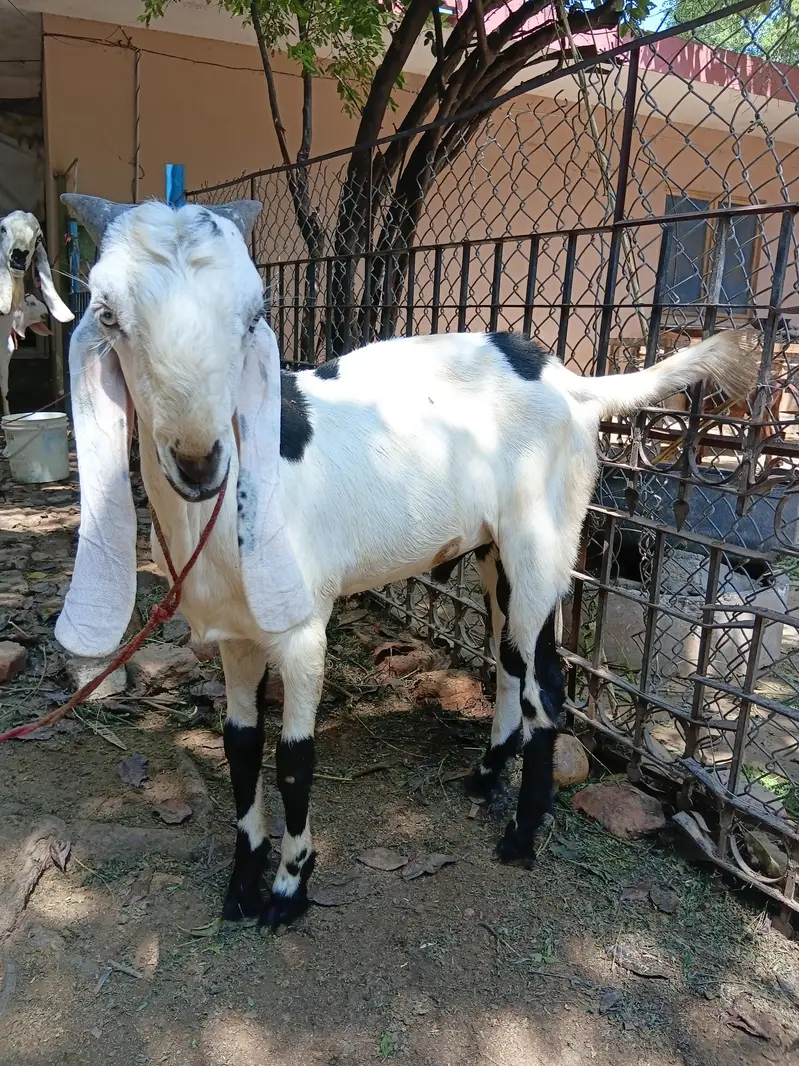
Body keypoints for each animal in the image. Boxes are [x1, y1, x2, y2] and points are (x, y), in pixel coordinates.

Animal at [55, 194, 759, 930]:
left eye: (253, 314)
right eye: (107, 313)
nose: (198, 460)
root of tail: (574, 386)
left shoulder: (302, 631)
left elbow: (293, 759)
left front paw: (289, 890)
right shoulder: (236, 634)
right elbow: (240, 747)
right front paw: (242, 883)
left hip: (542, 534)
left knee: (546, 682)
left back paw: (521, 837)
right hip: (493, 551)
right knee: (510, 661)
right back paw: (483, 778)